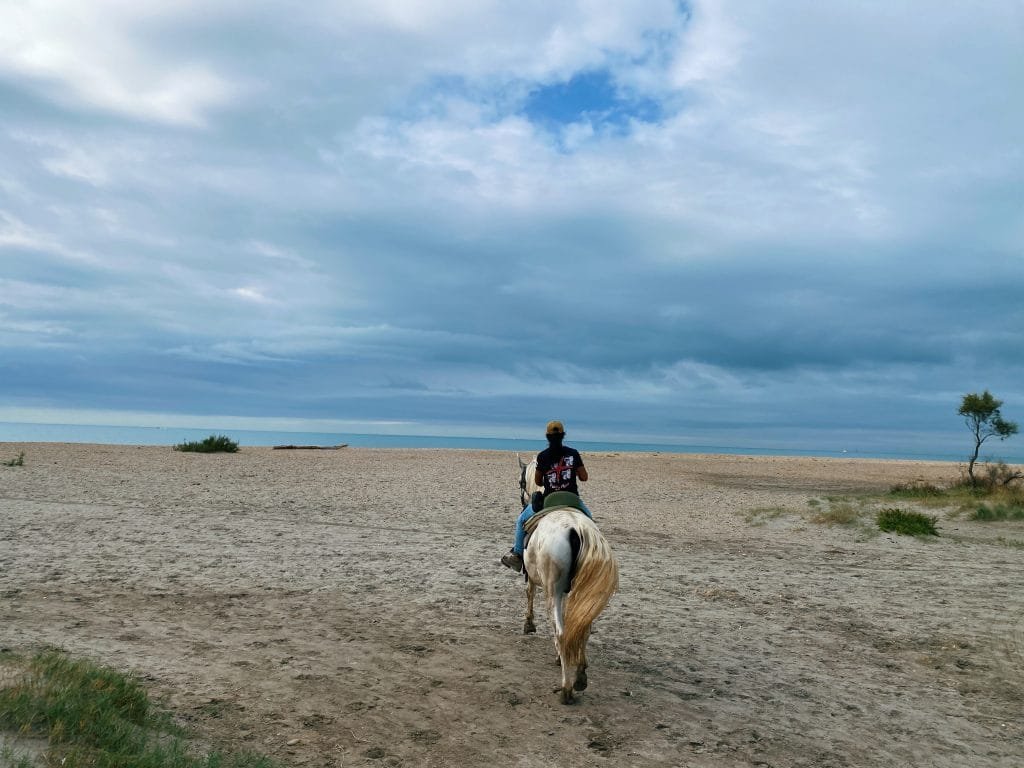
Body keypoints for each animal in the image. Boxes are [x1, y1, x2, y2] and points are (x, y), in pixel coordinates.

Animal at [524, 507, 618, 708]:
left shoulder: (533, 577)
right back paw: (580, 676)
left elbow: (530, 592)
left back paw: (566, 689)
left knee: (561, 633)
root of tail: (576, 530)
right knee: (583, 629)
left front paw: (529, 624)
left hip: (553, 592)